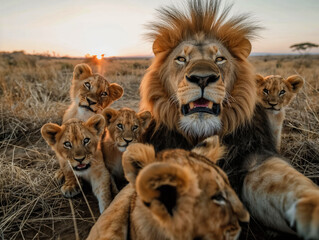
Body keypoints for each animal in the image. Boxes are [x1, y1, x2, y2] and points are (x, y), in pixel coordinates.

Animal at [139, 0, 319, 239]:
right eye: (181, 59)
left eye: (219, 59)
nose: (202, 78)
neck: (201, 132)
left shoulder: (255, 156)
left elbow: (290, 183)